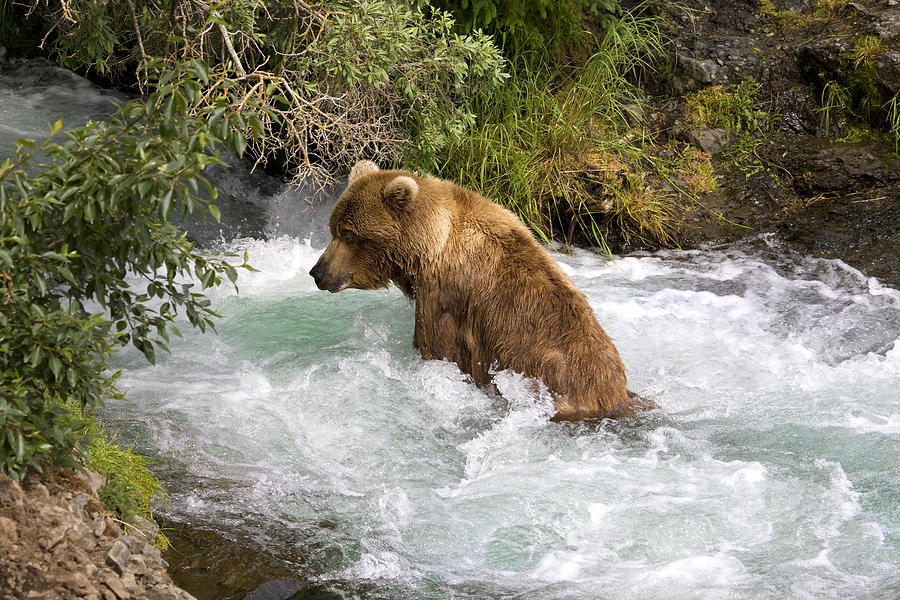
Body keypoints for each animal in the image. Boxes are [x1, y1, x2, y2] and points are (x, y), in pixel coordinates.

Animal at [312, 162, 648, 420]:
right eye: (333, 228)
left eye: (349, 234)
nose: (317, 272)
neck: (430, 247)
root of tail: (614, 395)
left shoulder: (446, 298)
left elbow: (437, 348)